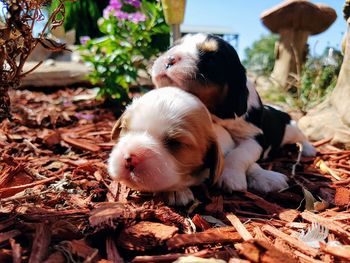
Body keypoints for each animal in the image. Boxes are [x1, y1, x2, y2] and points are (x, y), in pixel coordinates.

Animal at [152, 33, 316, 194]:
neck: (216, 114)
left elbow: (239, 154)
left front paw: (230, 177)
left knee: (302, 137)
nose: (169, 58)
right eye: (171, 47)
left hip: (292, 129)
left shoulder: (253, 138)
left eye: (211, 58)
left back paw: (309, 150)